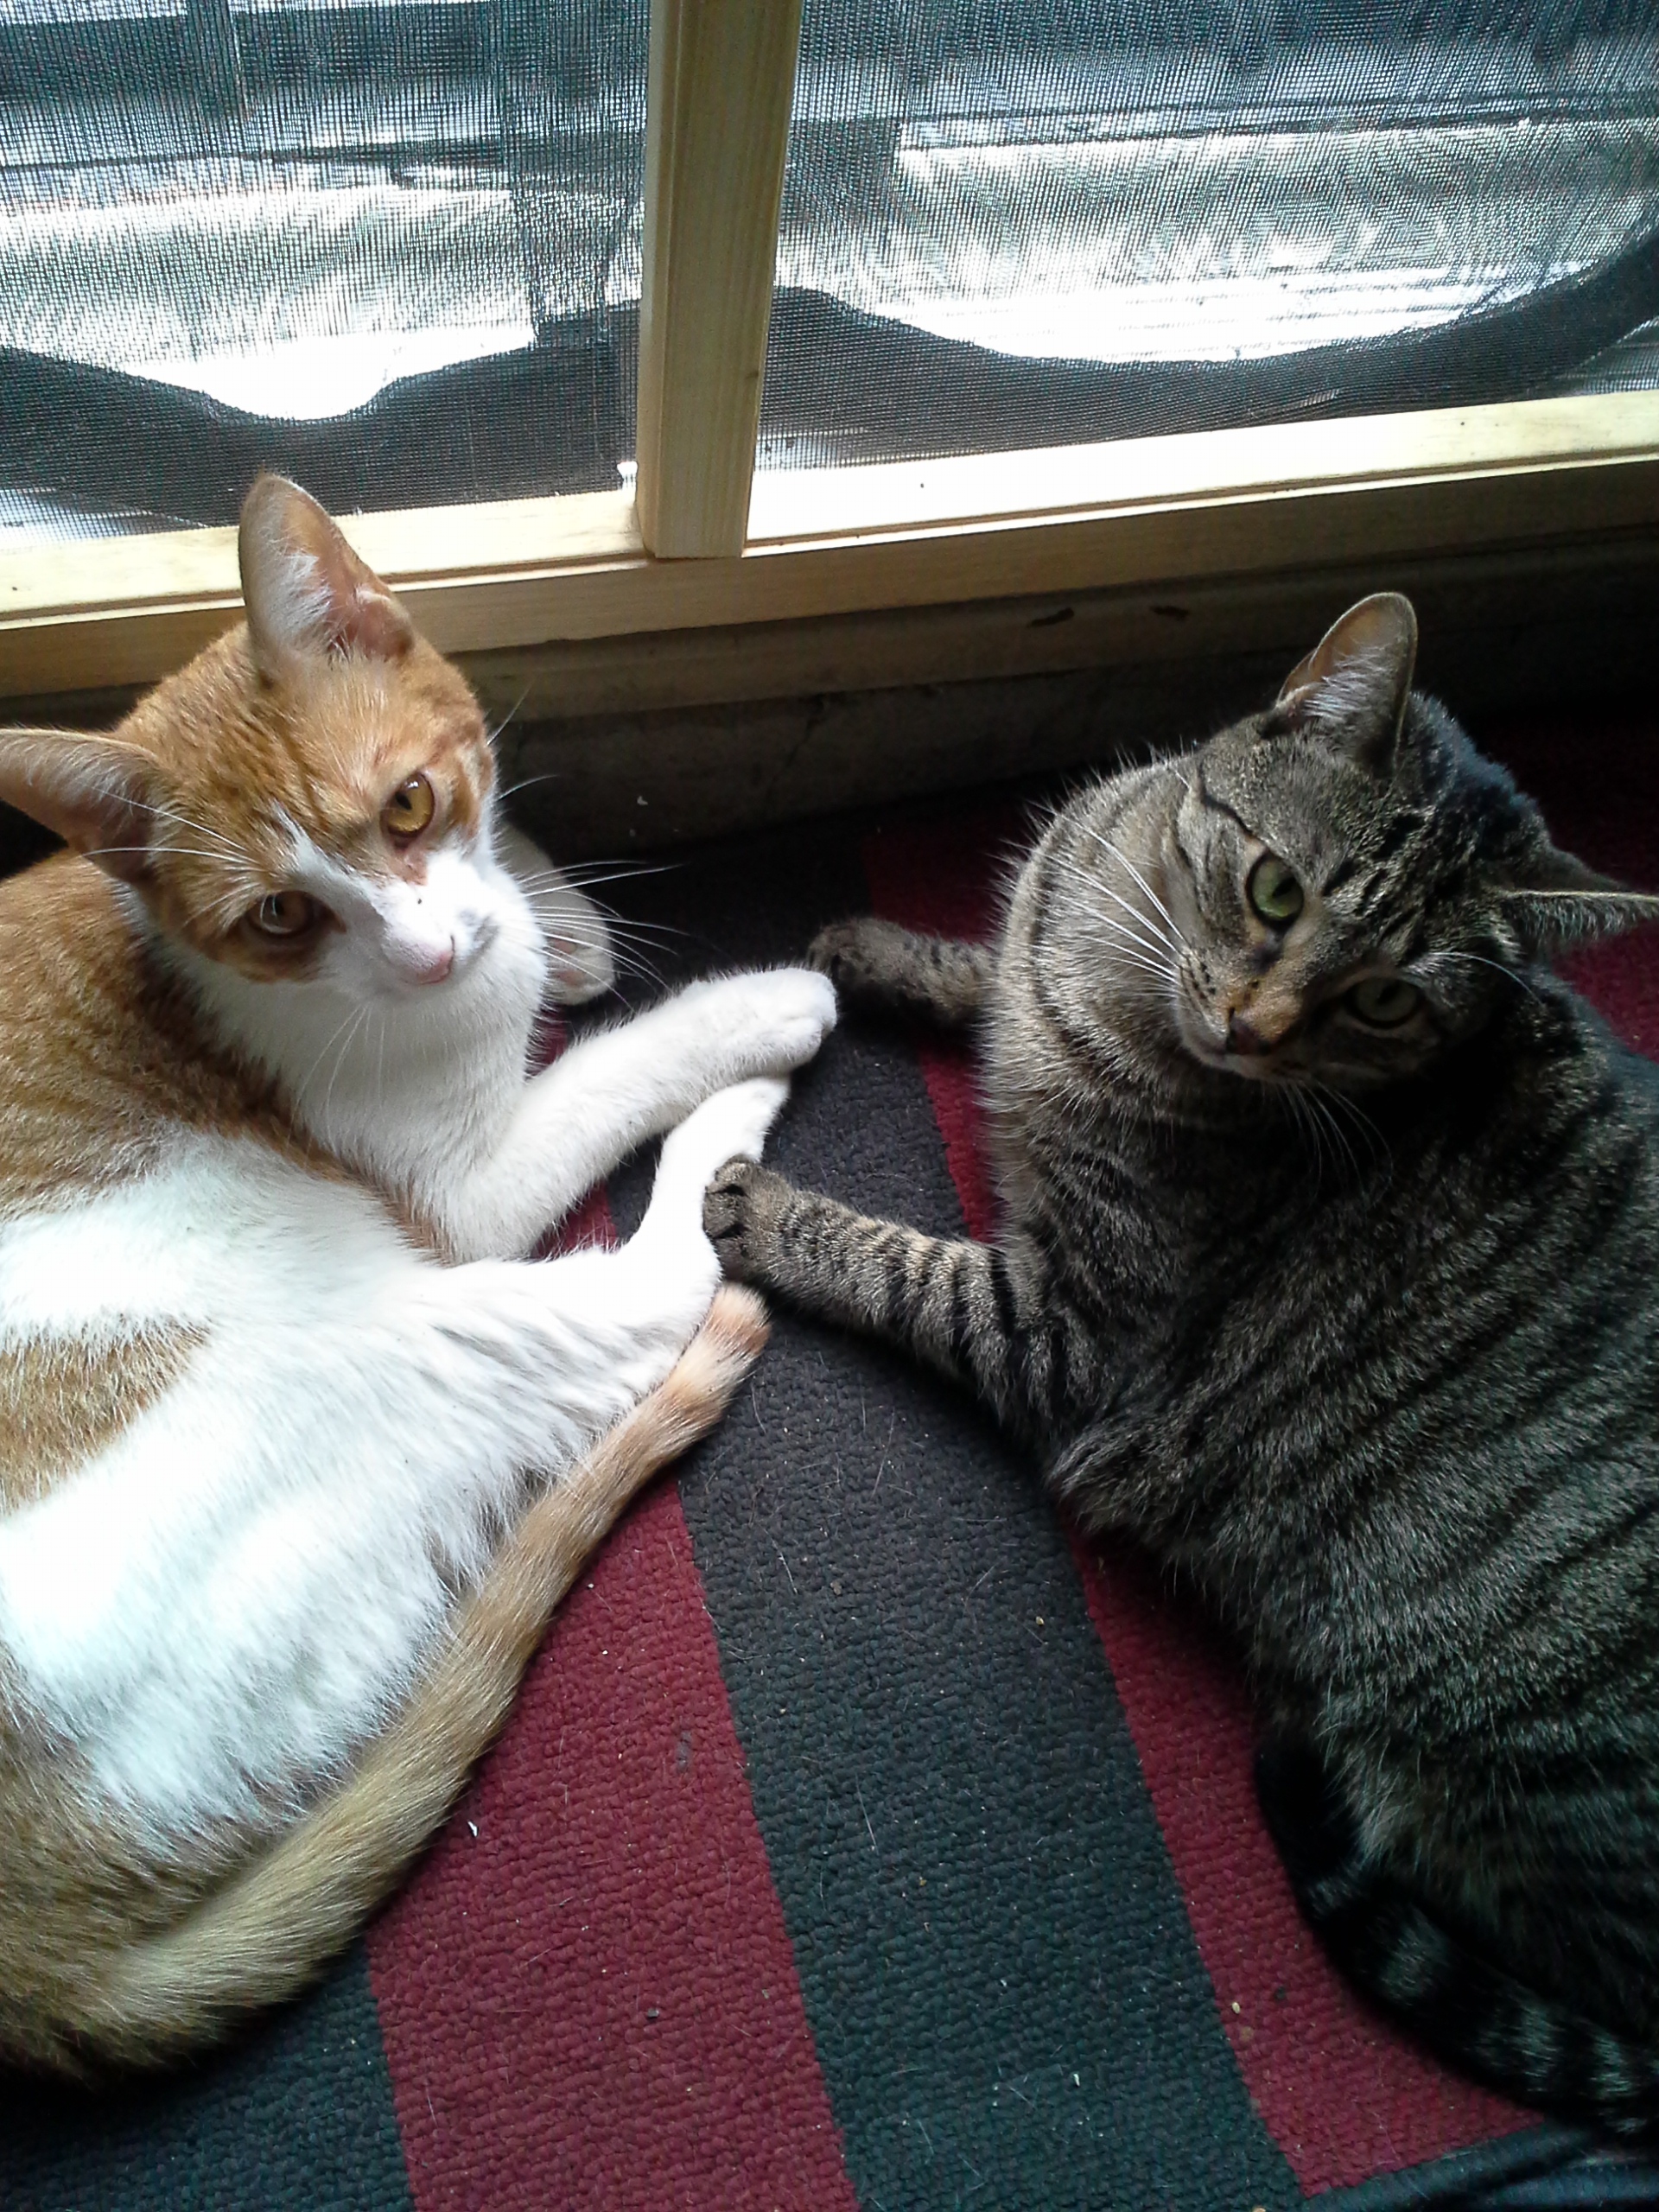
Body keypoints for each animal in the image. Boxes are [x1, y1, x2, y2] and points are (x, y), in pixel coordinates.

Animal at [0, 471, 837, 2073]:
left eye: (408, 804)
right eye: (278, 917)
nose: (439, 954)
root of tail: (36, 1963)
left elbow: (549, 922)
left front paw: (553, 915)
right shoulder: (464, 1192)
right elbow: (618, 1055)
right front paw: (754, 1004)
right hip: (382, 1328)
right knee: (643, 1294)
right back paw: (735, 1124)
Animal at [705, 592, 1659, 2133]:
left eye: (1386, 1001)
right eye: (1275, 894)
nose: (1257, 1028)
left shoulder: (1070, 1335)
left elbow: (906, 1268)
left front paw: (770, 1212)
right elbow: (983, 964)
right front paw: (874, 946)